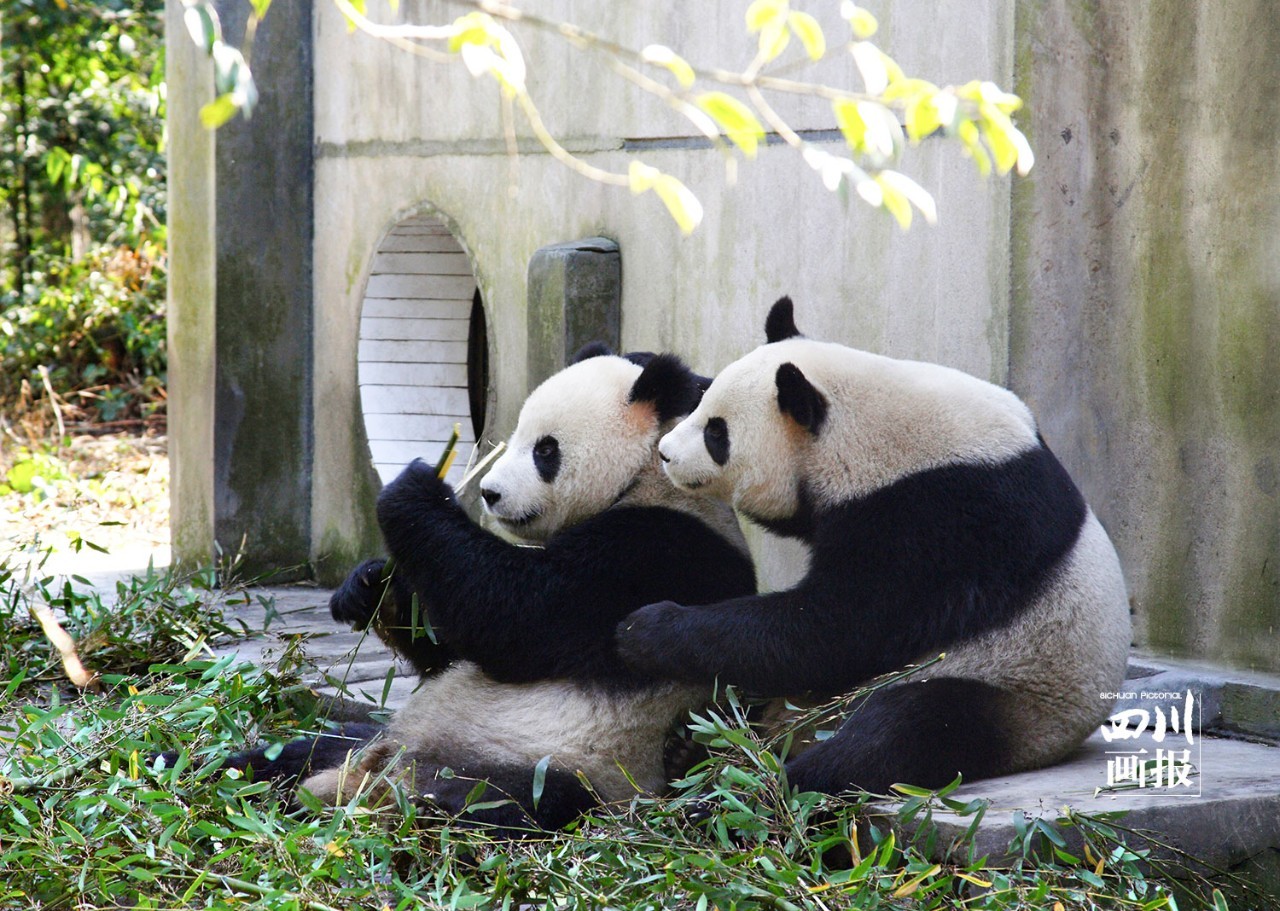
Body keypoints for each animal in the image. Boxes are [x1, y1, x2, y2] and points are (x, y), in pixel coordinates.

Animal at [295, 345, 757, 829]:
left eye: (545, 449)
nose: (489, 492)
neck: (647, 470)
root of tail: (374, 776)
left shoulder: (659, 555)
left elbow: (519, 618)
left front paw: (415, 489)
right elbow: (451, 650)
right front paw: (370, 589)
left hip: (562, 764)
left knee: (515, 798)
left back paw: (429, 806)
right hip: (371, 740)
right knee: (315, 746)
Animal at [614, 300, 1126, 798]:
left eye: (717, 434)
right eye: (702, 402)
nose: (665, 452)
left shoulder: (937, 519)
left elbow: (831, 631)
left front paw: (644, 629)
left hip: (1014, 686)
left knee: (904, 729)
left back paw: (770, 786)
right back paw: (691, 749)